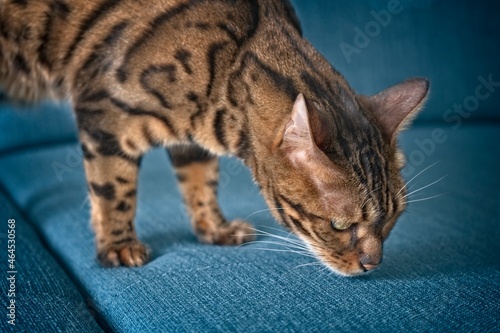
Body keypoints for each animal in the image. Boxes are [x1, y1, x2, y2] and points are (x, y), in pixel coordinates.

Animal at [0, 0, 430, 274]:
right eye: (339, 226)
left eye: (392, 220)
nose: (372, 264)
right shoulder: (105, 112)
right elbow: (113, 189)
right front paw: (117, 246)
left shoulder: (189, 139)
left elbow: (200, 183)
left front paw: (214, 229)